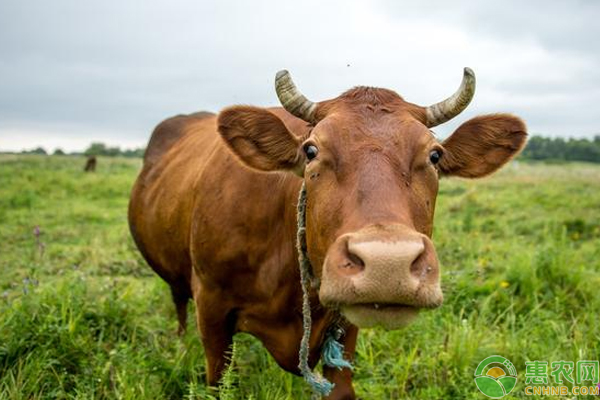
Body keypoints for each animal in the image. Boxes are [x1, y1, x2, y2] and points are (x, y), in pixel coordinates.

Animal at [127, 69, 524, 396]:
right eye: (311, 150)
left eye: (435, 156)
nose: (388, 265)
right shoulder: (211, 308)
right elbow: (218, 385)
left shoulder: (344, 325)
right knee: (178, 302)